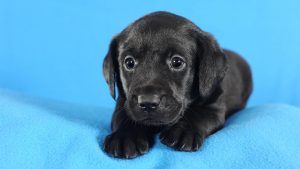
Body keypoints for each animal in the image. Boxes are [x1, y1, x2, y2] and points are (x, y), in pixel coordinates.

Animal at [102, 10, 252, 158]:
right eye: (129, 63)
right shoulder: (123, 102)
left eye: (177, 62)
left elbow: (198, 114)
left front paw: (183, 131)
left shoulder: (213, 106)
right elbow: (124, 117)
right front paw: (125, 137)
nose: (148, 102)